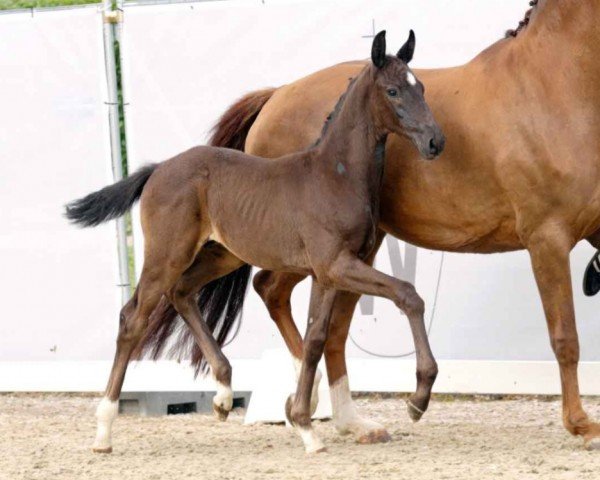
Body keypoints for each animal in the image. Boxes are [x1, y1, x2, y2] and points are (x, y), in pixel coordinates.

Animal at [67, 31, 446, 452]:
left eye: (422, 87)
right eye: (393, 90)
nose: (435, 141)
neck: (335, 175)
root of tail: (158, 169)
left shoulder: (329, 273)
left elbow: (315, 339)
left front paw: (304, 425)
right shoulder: (336, 265)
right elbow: (408, 294)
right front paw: (417, 399)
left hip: (222, 255)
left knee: (182, 292)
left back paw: (223, 394)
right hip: (167, 255)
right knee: (132, 318)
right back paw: (104, 430)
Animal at [200, 0, 596, 450]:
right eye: (393, 92)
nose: (434, 142)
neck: (553, 83)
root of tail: (276, 96)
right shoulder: (548, 237)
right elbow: (565, 336)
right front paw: (581, 424)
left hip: (354, 254)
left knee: (327, 328)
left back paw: (348, 420)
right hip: (301, 252)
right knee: (271, 292)